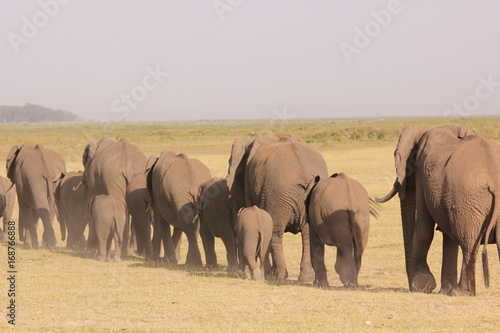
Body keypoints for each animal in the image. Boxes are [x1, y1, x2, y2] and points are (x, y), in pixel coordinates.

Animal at [228, 132, 328, 280]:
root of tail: (304, 173)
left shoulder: (249, 180)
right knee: (308, 232)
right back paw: (306, 277)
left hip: (277, 193)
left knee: (275, 231)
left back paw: (278, 275)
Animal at [376, 125, 498, 296]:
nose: (412, 288)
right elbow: (447, 234)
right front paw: (444, 289)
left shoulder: (421, 172)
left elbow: (424, 228)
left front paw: (423, 284)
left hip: (469, 198)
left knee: (468, 243)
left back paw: (460, 292)